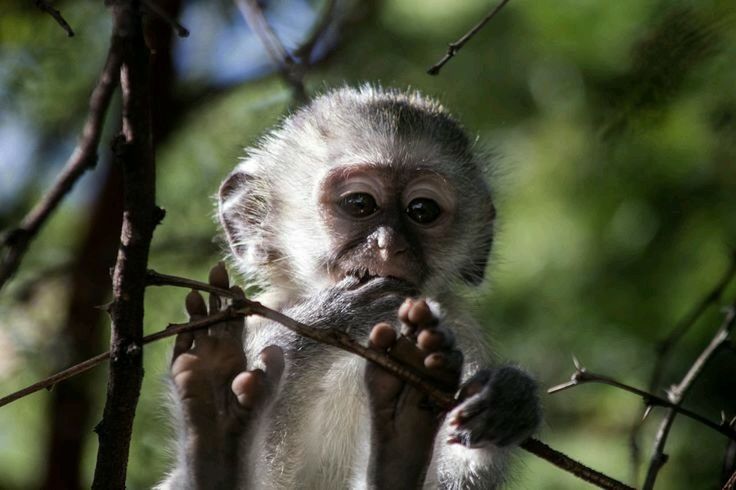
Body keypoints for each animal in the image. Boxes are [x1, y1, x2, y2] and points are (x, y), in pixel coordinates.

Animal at [160, 86, 540, 488]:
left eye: (422, 210)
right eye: (360, 204)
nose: (389, 244)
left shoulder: (460, 327)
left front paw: (509, 397)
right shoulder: (263, 312)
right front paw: (330, 318)